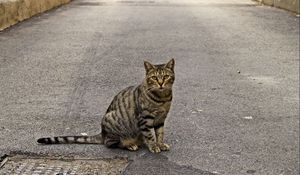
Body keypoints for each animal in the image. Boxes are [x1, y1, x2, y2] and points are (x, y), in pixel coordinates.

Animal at [37, 58, 175, 153]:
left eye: (166, 76)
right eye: (154, 78)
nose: (161, 83)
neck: (162, 98)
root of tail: (102, 133)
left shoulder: (160, 119)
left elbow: (160, 134)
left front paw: (160, 144)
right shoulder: (145, 119)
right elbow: (150, 136)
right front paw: (154, 146)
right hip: (112, 121)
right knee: (111, 143)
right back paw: (129, 144)